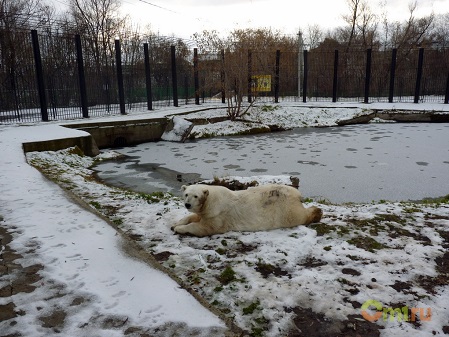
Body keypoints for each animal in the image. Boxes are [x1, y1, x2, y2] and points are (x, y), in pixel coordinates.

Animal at [172, 182, 322, 235]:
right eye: (186, 194)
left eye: (196, 196)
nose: (188, 204)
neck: (211, 201)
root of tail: (298, 194)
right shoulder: (207, 211)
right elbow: (195, 216)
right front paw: (176, 223)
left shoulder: (218, 214)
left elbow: (204, 227)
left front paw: (179, 228)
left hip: (285, 208)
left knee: (299, 216)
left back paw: (318, 212)